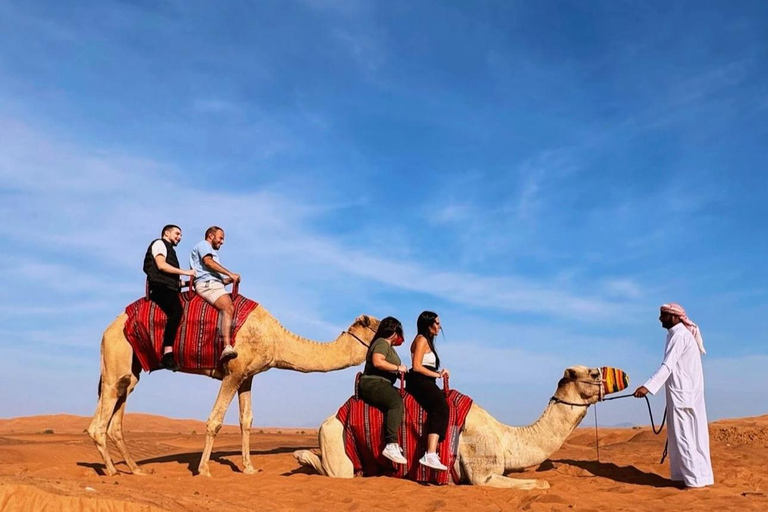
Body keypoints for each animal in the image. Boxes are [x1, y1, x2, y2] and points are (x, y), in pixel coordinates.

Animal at [88, 304, 378, 476]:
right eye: (380, 325)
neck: (275, 339)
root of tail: (106, 330)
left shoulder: (247, 377)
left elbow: (246, 420)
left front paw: (249, 468)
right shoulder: (233, 373)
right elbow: (215, 420)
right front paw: (204, 469)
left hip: (130, 369)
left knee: (117, 413)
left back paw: (136, 469)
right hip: (116, 357)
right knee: (100, 421)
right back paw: (113, 472)